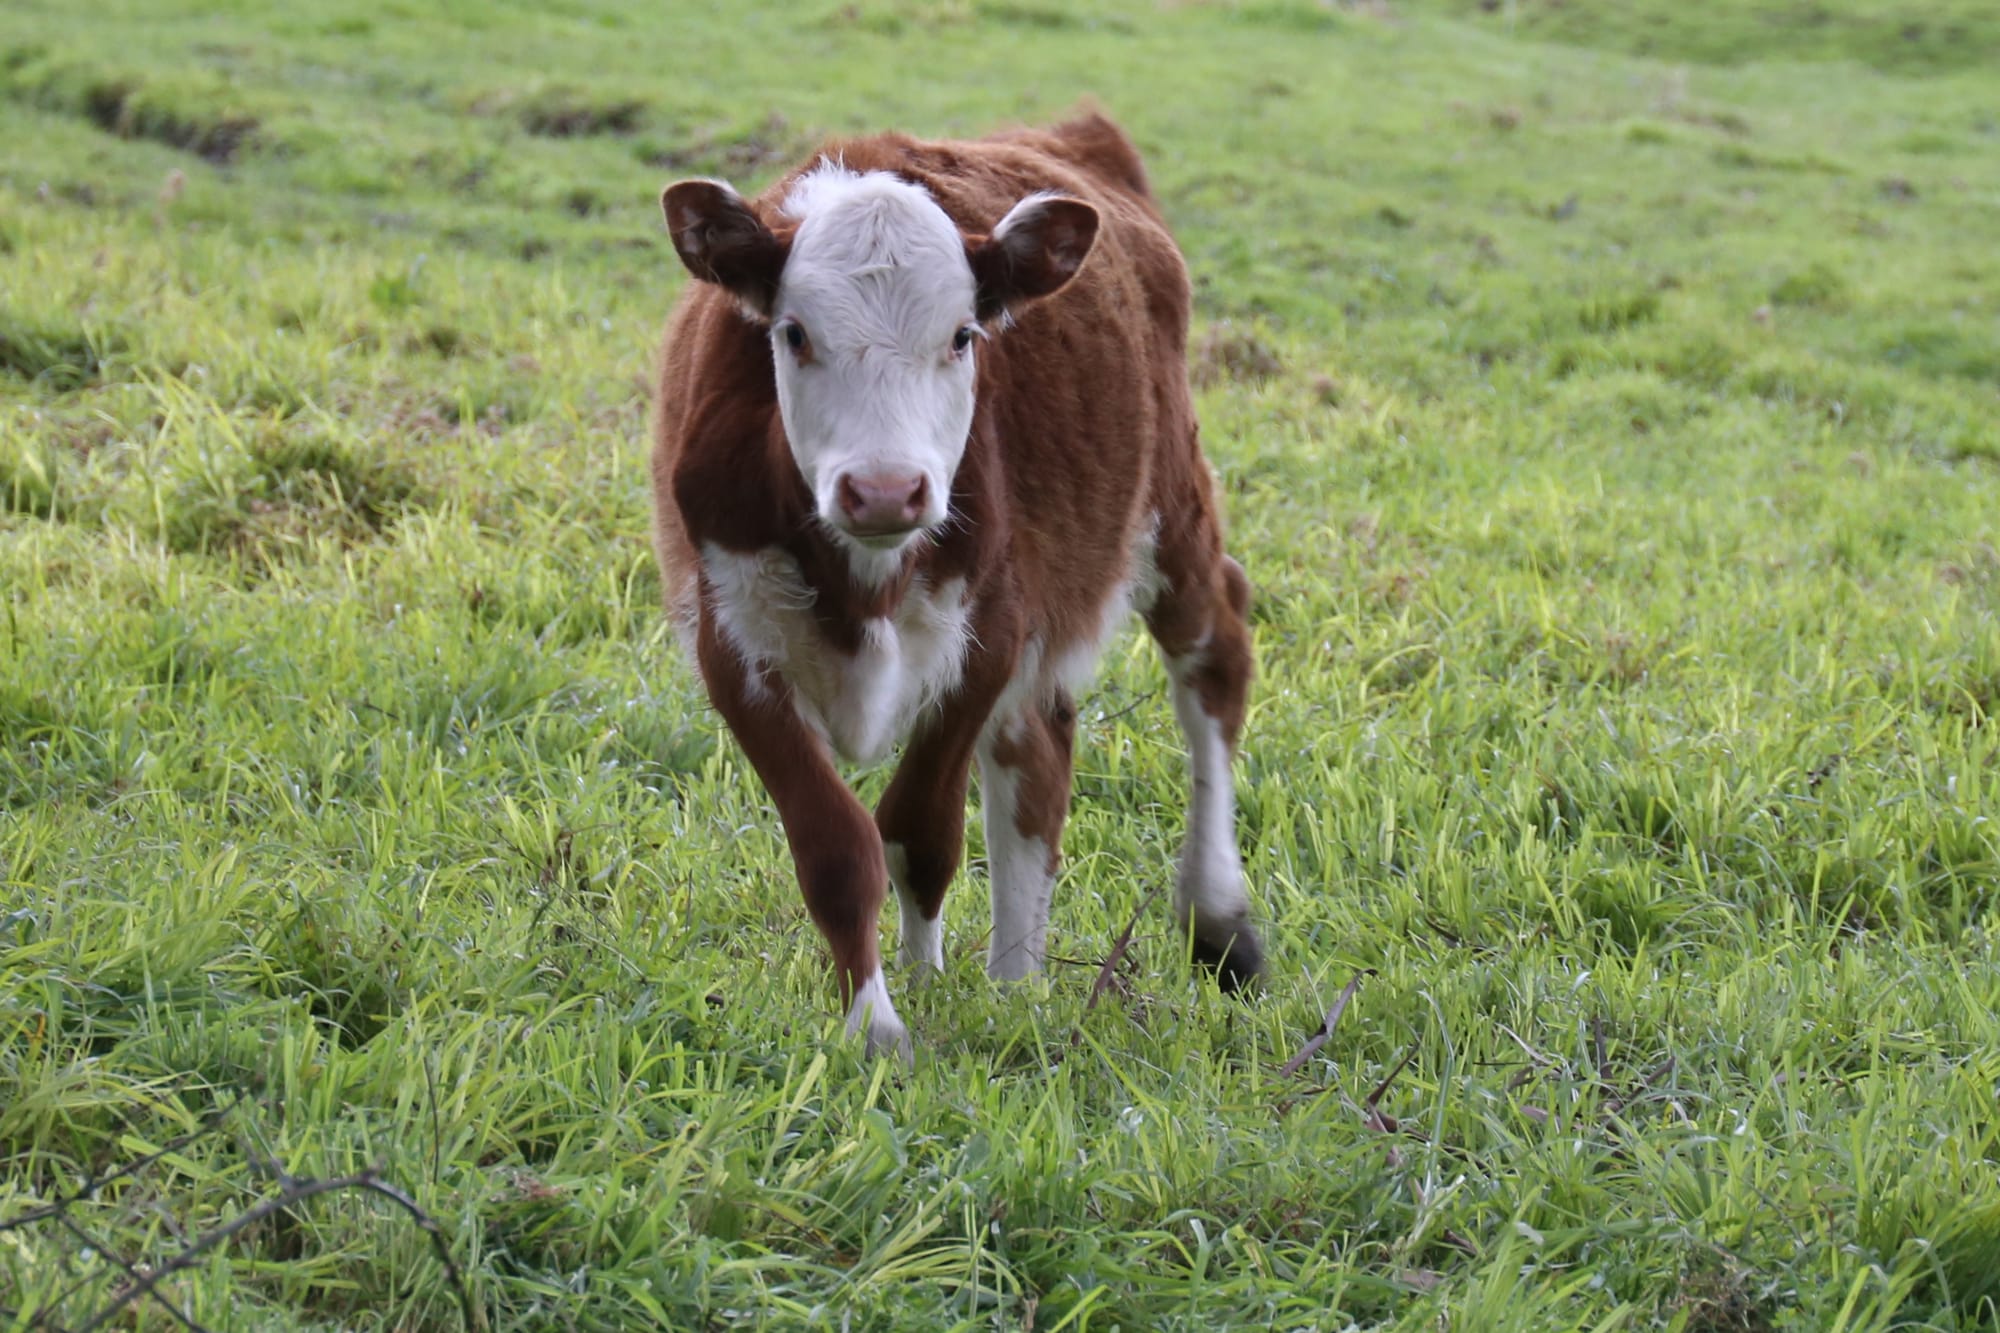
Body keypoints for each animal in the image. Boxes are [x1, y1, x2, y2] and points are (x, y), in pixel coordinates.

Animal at [651, 111, 1261, 1057]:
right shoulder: (734, 646)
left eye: (962, 336)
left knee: (1215, 660)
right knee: (1037, 755)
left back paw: (1218, 919)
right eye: (793, 333)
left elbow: (917, 829)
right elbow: (838, 848)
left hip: (1170, 504)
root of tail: (1073, 134)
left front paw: (917, 986)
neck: (863, 580)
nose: (885, 489)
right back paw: (1016, 983)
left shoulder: (991, 632)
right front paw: (878, 1018)